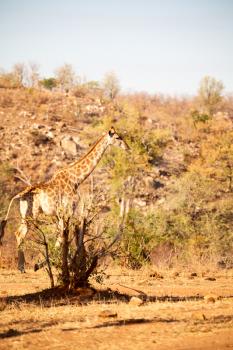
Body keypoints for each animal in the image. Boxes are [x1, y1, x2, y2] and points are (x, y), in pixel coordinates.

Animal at [0, 127, 129, 272]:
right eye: (118, 138)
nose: (128, 148)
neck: (76, 179)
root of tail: (20, 195)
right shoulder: (69, 210)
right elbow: (63, 237)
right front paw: (45, 264)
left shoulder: (61, 213)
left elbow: (62, 236)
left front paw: (52, 263)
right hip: (31, 214)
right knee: (20, 234)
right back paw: (22, 267)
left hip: (25, 214)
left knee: (18, 233)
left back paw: (21, 266)